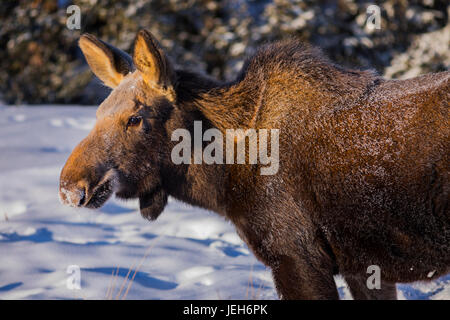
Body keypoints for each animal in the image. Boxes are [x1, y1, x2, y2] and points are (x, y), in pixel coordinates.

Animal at [60, 30, 450, 300]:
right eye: (98, 112)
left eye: (135, 118)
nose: (70, 187)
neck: (223, 178)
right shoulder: (364, 267)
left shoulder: (296, 255)